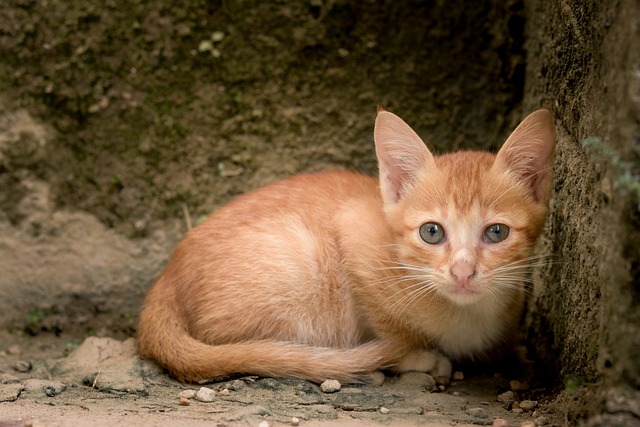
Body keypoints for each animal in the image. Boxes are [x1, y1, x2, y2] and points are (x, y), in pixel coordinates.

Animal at [136, 109, 556, 384]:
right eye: (432, 233)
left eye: (496, 233)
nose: (463, 271)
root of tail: (165, 280)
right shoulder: (354, 232)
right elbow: (394, 332)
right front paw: (418, 356)